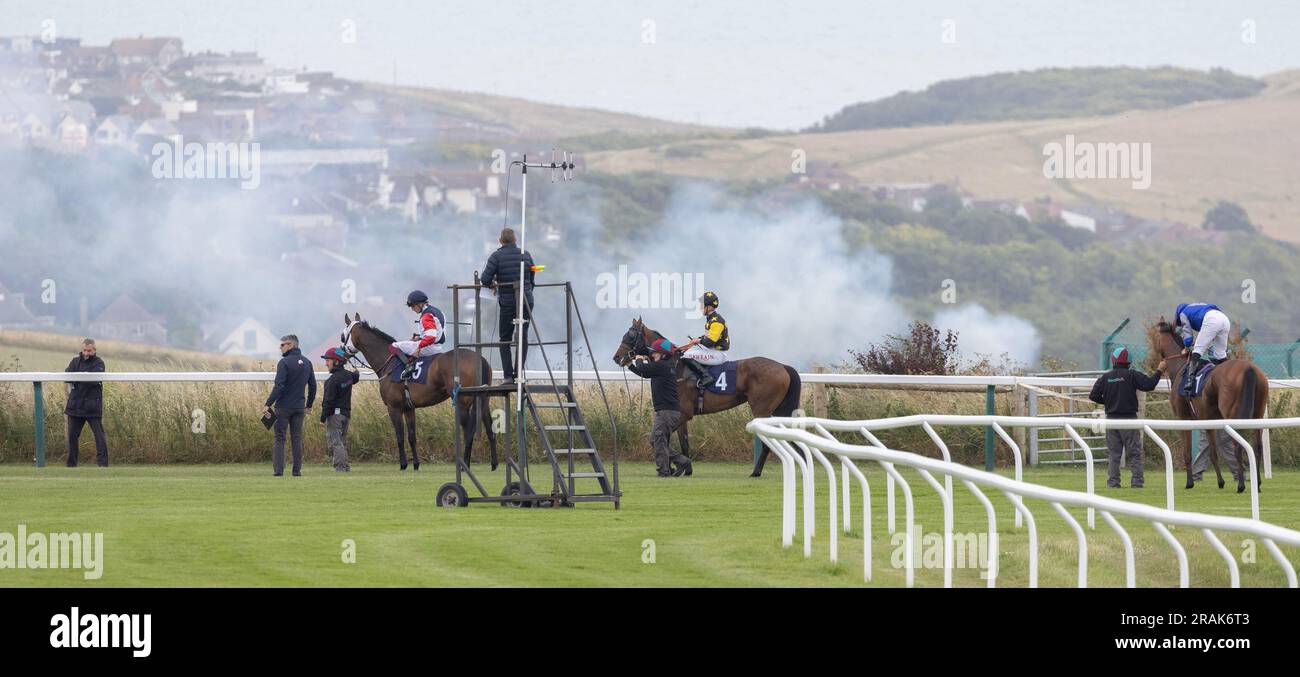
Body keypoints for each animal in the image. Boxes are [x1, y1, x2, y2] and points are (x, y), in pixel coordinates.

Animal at [340, 311, 496, 470]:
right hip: (483, 399)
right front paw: (415, 464)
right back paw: (494, 464)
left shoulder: (394, 407)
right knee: (490, 428)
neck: (390, 363)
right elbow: (411, 437)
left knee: (469, 431)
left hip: (462, 401)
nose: (341, 354)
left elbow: (400, 437)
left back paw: (465, 464)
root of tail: (480, 359)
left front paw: (403, 465)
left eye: (342, 336)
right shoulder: (409, 408)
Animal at [611, 317, 800, 475]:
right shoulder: (681, 416)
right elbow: (683, 442)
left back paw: (756, 472)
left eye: (630, 336)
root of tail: (782, 366)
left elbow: (665, 438)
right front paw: (685, 469)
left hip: (761, 410)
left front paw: (674, 468)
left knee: (768, 441)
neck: (675, 366)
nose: (616, 357)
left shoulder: (684, 413)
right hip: (778, 409)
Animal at [1149, 317, 1268, 491]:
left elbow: (1190, 453)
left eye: (1155, 336)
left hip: (1232, 415)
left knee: (1238, 446)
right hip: (1258, 413)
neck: (1180, 368)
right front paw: (1220, 481)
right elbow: (1212, 451)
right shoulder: (1209, 419)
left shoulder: (1184, 419)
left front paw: (1190, 483)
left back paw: (1241, 485)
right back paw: (1257, 483)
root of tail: (1249, 369)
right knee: (1257, 447)